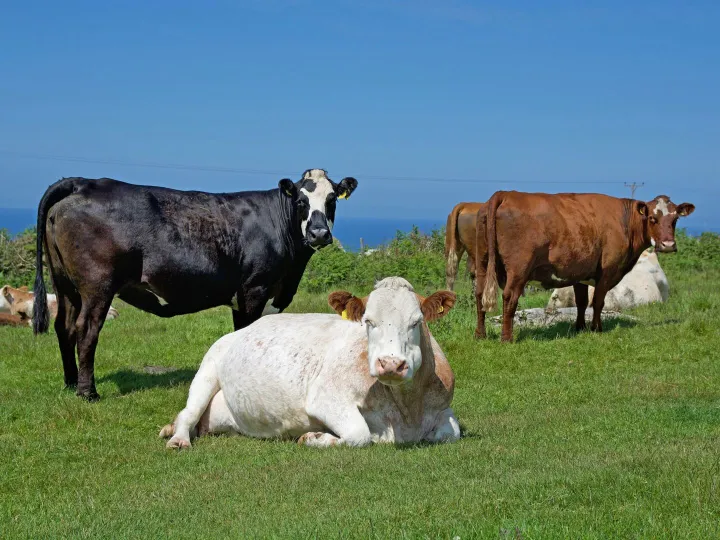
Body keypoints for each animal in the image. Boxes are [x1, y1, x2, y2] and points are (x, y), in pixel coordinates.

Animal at [33, 169, 358, 400]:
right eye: (301, 201)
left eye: (331, 200)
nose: (319, 234)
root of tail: (83, 182)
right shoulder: (255, 289)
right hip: (97, 284)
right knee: (86, 329)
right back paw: (88, 392)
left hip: (64, 283)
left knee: (64, 326)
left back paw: (70, 382)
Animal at [159, 277, 460, 449]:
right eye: (368, 321)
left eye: (416, 322)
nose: (390, 364)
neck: (407, 410)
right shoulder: (325, 398)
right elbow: (359, 434)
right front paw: (316, 437)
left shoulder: (443, 408)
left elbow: (451, 432)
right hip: (207, 370)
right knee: (188, 413)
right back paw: (177, 438)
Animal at [475, 192, 694, 342]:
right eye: (652, 219)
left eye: (675, 219)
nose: (668, 245)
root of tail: (505, 193)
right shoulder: (607, 270)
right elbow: (597, 302)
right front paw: (597, 329)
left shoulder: (579, 271)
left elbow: (581, 301)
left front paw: (579, 328)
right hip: (519, 268)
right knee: (509, 297)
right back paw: (507, 338)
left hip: (482, 262)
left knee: (479, 294)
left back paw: (480, 334)